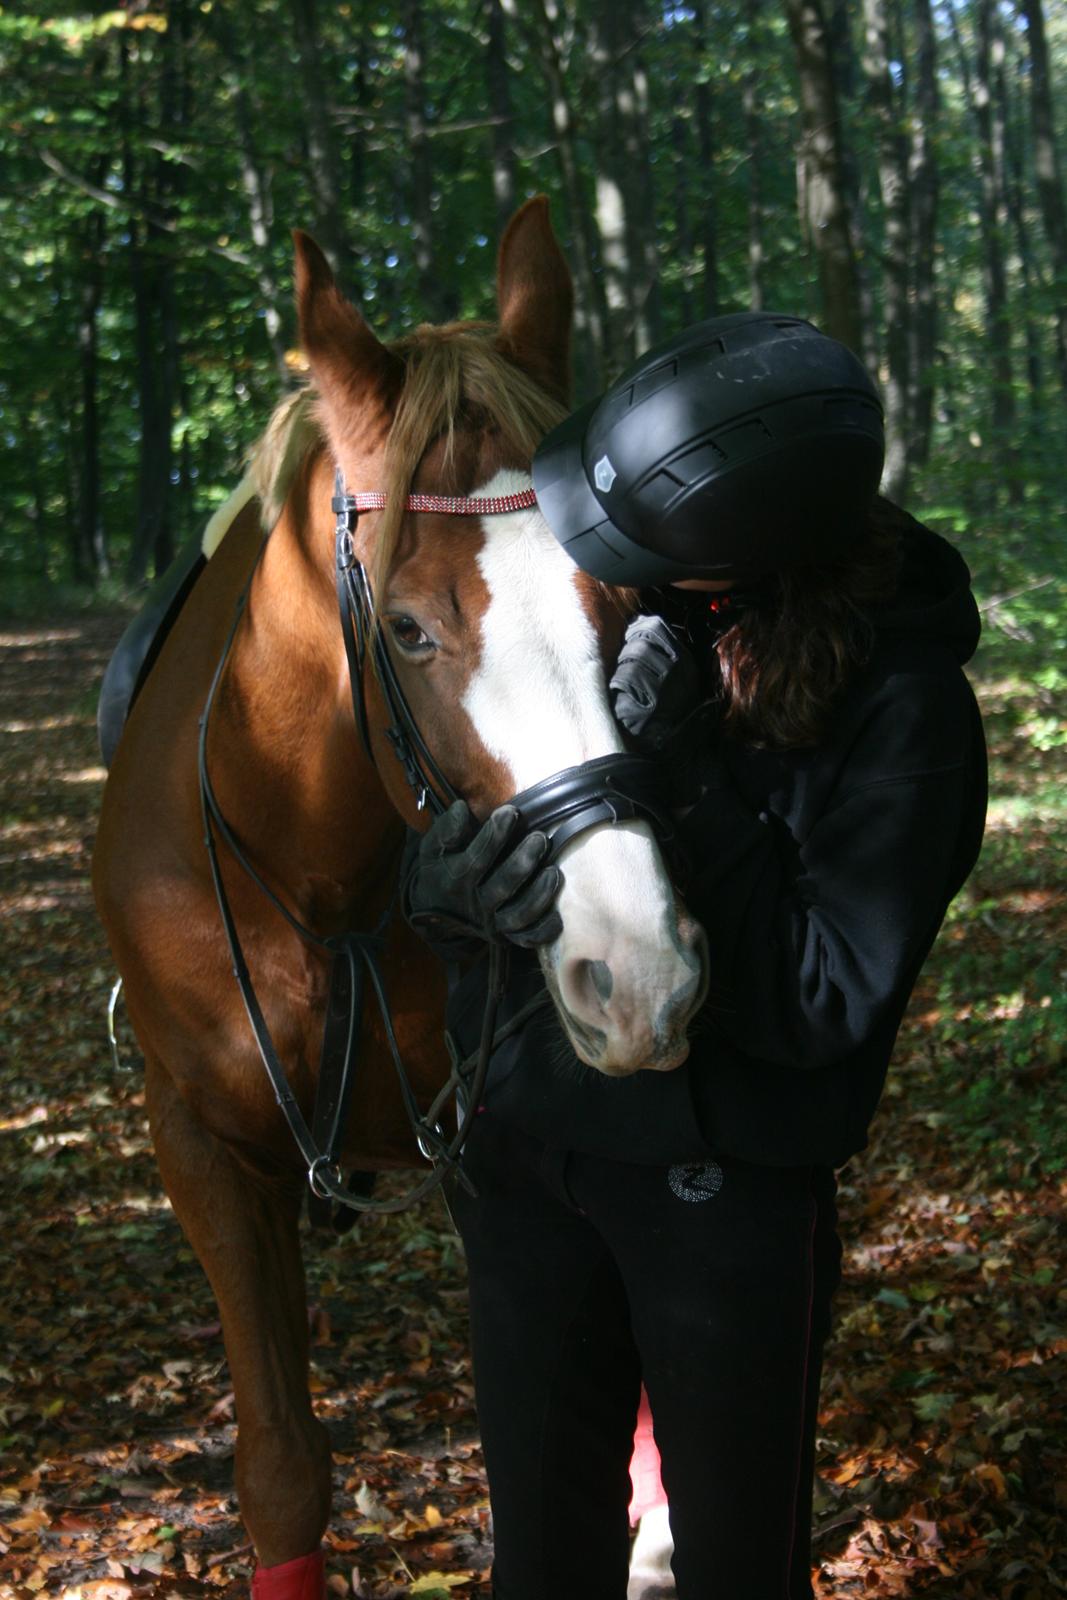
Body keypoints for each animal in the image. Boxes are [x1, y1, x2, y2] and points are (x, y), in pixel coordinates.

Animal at [91, 203, 710, 1600]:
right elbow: (280, 1470)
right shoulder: (202, 1148)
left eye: (625, 606)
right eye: (412, 630)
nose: (636, 967)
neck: (313, 869)